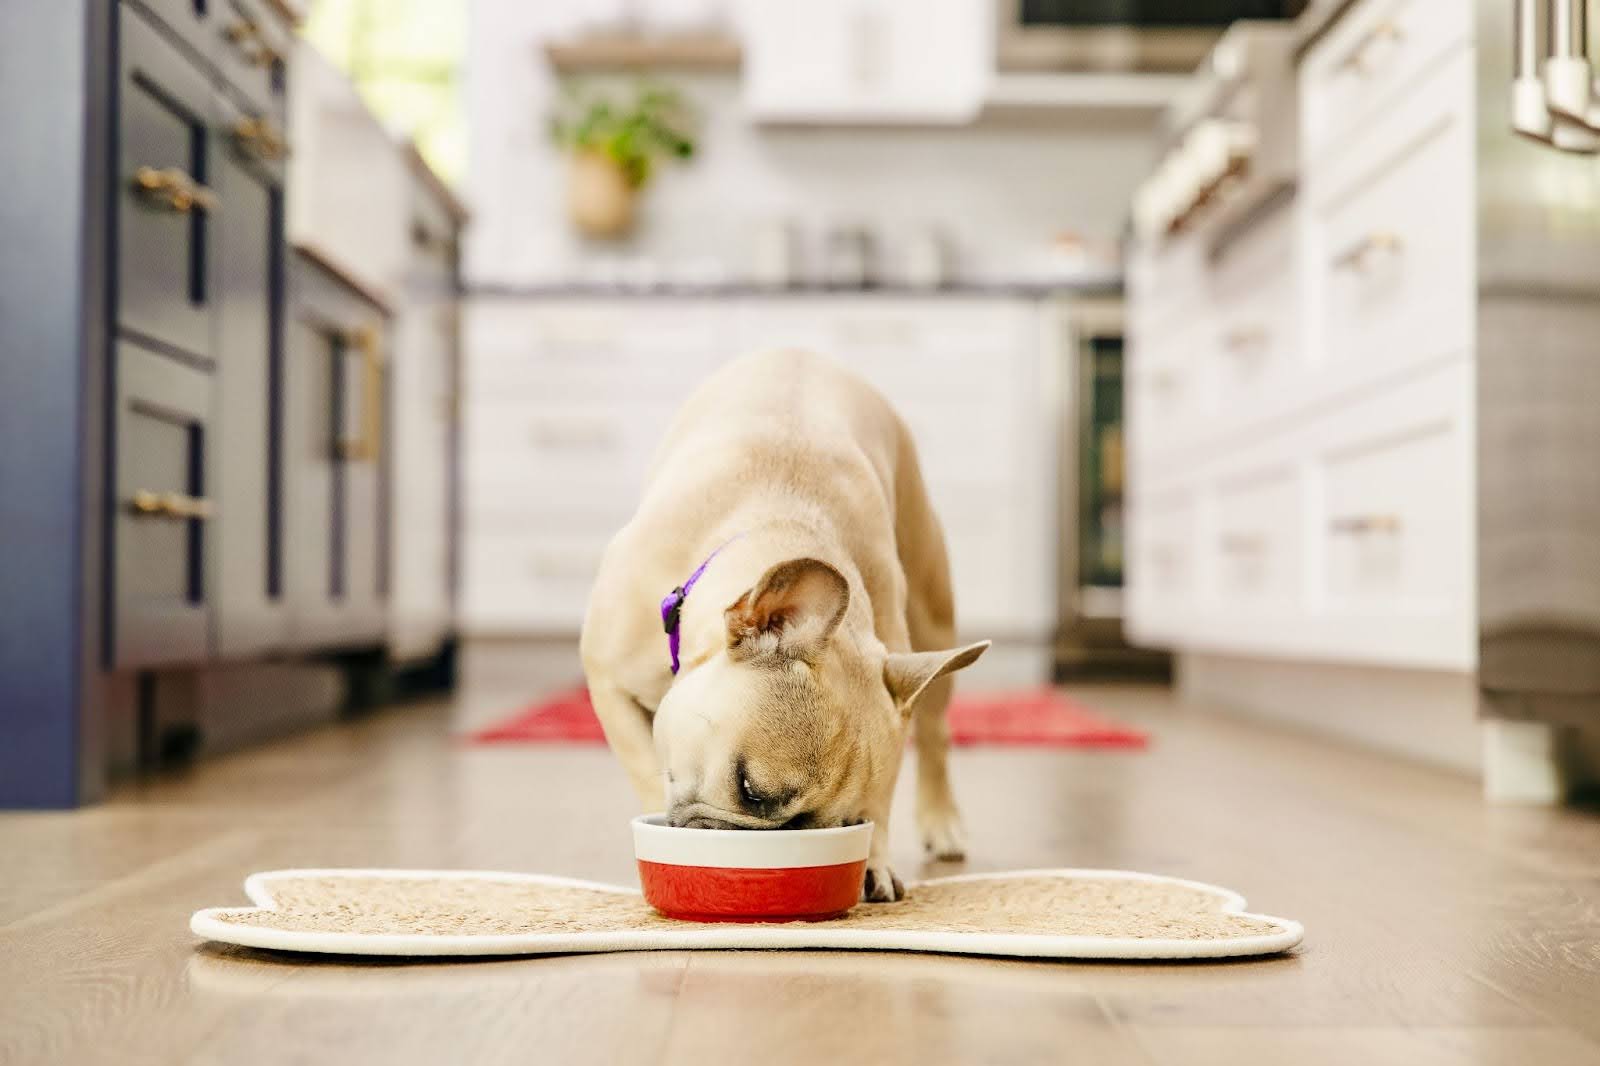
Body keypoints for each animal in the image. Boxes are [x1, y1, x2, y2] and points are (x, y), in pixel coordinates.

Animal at [582, 348, 985, 896]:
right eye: (751, 790)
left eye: (848, 824)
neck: (781, 517)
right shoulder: (609, 683)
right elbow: (647, 769)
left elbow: (884, 794)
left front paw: (875, 860)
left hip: (930, 615)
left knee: (936, 734)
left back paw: (941, 821)